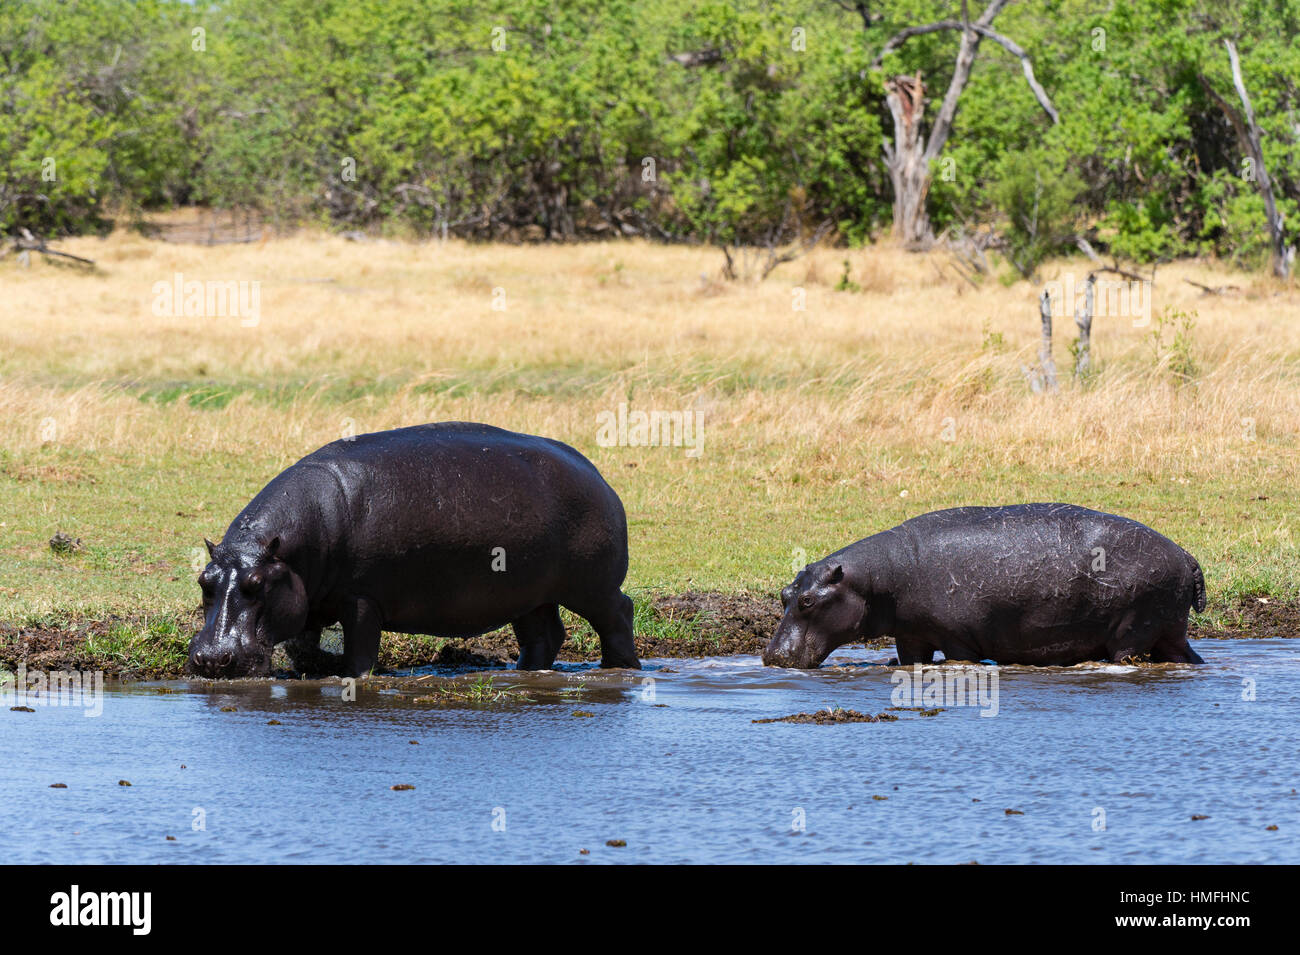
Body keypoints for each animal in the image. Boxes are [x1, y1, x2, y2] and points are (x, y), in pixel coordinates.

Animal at [187, 422, 640, 678]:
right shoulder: (306, 597)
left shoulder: (362, 599)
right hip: (530, 593)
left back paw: (620, 669)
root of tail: (597, 473)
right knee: (545, 633)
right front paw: (314, 669)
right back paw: (526, 672)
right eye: (203, 581)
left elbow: (361, 648)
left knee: (618, 614)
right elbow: (303, 645)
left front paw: (349, 676)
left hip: (591, 587)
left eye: (257, 583)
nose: (211, 659)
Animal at [763, 504, 1206, 668]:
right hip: (1170, 628)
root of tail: (1186, 554)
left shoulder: (958, 639)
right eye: (784, 594)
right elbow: (909, 660)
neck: (876, 580)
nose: (770, 657)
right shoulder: (911, 634)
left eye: (807, 601)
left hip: (1134, 630)